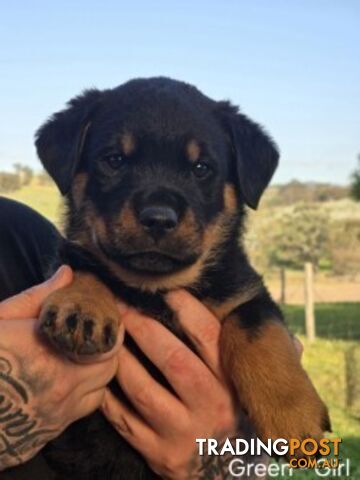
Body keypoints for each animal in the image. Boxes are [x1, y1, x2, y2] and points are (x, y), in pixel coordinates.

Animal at [33, 77, 330, 478]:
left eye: (201, 167)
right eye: (114, 160)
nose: (159, 218)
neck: (156, 289)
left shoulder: (247, 290)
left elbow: (258, 331)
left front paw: (293, 417)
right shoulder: (75, 256)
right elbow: (85, 265)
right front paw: (82, 308)